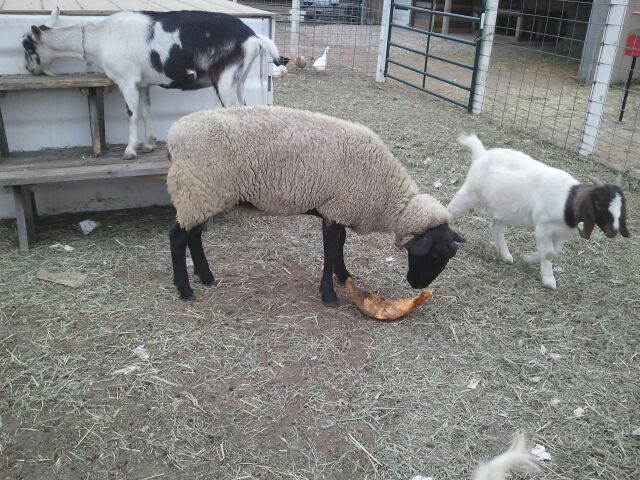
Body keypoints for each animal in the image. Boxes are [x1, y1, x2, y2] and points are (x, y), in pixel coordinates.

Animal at [22, 7, 280, 160]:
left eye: (28, 47)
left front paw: (130, 151)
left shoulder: (127, 80)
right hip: (239, 78)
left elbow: (132, 113)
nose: (29, 69)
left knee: (235, 110)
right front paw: (148, 144)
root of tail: (254, 37)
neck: (102, 37)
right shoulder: (143, 82)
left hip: (225, 79)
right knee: (244, 108)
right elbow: (145, 110)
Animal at [166, 107, 464, 304]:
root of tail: (174, 134)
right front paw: (329, 295)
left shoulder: (339, 208)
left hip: (204, 196)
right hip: (198, 189)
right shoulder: (336, 210)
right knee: (178, 237)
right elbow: (330, 251)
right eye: (435, 255)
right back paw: (185, 289)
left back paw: (206, 276)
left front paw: (343, 276)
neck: (388, 197)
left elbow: (340, 246)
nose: (417, 285)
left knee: (194, 237)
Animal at [450, 133, 632, 288]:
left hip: (506, 210)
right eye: (599, 204)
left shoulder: (559, 233)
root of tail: (482, 153)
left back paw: (506, 256)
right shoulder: (544, 226)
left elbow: (554, 252)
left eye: (622, 206)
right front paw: (548, 280)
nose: (614, 231)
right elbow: (549, 253)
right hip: (471, 193)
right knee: (451, 210)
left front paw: (529, 258)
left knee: (496, 228)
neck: (567, 202)